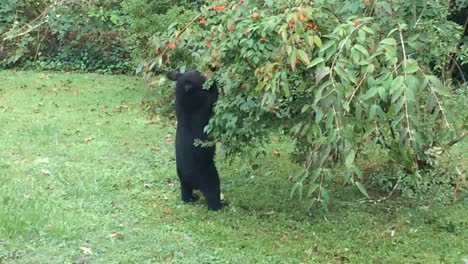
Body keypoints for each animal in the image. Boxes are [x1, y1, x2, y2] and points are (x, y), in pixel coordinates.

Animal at [166, 69, 225, 210]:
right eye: (198, 74)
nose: (201, 71)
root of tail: (190, 179)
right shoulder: (203, 101)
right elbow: (214, 94)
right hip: (209, 175)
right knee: (213, 191)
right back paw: (220, 205)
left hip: (183, 181)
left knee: (185, 192)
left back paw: (191, 198)